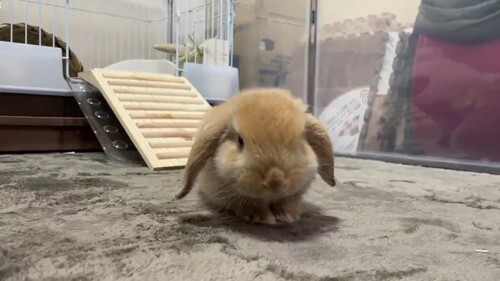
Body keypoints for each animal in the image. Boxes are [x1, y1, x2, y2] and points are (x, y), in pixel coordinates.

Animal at [174, 87, 334, 223]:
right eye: (240, 140)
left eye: (301, 138)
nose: (275, 182)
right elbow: (248, 202)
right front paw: (261, 217)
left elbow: (288, 200)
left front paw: (287, 215)